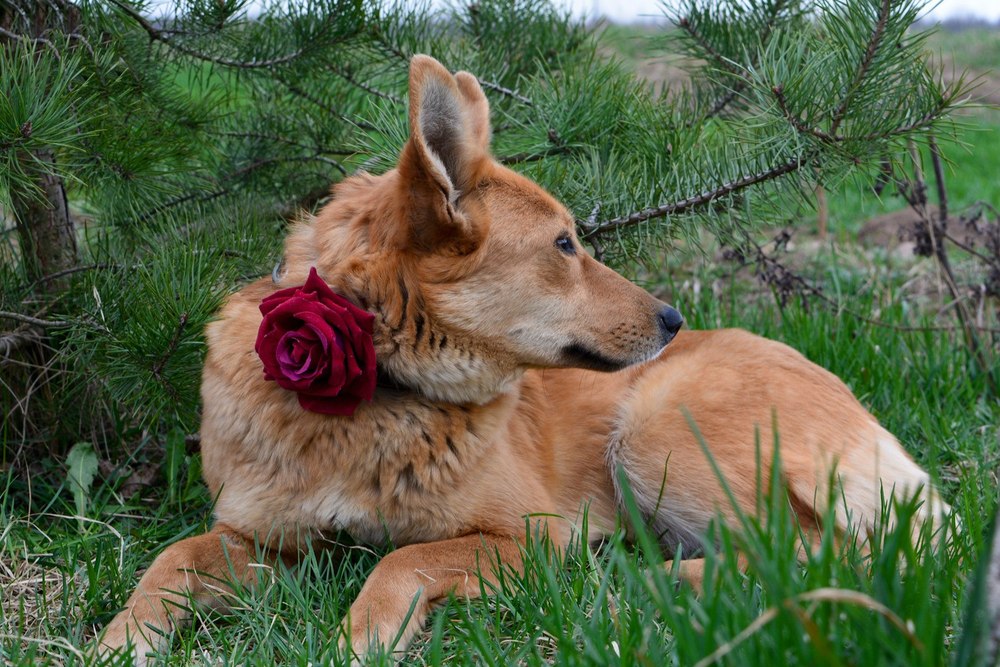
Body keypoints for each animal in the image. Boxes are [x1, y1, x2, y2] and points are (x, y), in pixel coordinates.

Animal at [97, 56, 948, 664]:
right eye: (565, 244)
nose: (674, 319)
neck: (374, 397)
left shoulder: (526, 538)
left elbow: (401, 561)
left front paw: (362, 636)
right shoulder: (265, 543)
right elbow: (168, 561)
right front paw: (120, 639)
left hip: (655, 437)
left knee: (825, 554)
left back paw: (643, 582)